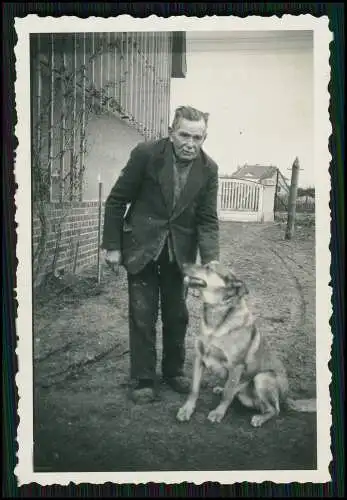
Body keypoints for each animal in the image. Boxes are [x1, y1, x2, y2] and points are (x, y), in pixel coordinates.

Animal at [178, 260, 316, 428]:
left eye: (209, 268)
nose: (182, 263)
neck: (216, 315)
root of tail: (286, 396)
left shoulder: (236, 366)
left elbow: (227, 394)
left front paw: (218, 413)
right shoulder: (199, 358)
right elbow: (194, 390)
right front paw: (187, 409)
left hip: (262, 378)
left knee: (274, 409)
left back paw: (260, 418)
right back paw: (221, 389)